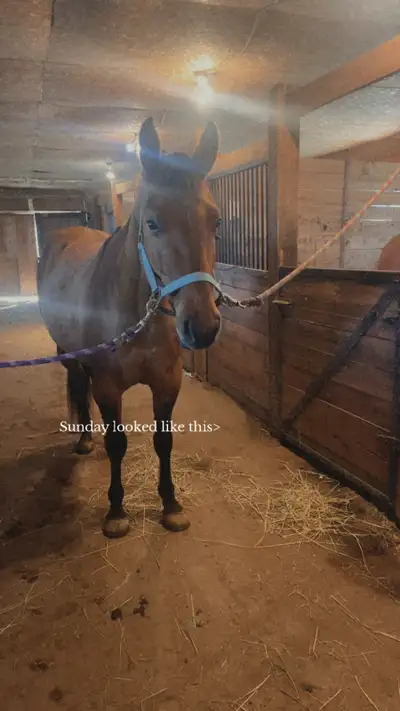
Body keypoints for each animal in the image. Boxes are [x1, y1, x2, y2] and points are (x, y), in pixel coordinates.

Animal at [37, 117, 222, 539]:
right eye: (152, 222)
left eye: (215, 220)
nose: (202, 327)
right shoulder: (108, 387)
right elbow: (117, 443)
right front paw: (117, 511)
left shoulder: (168, 381)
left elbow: (164, 440)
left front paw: (171, 505)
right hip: (68, 354)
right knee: (78, 386)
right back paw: (85, 440)